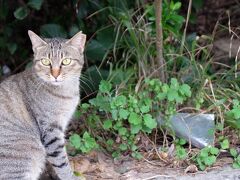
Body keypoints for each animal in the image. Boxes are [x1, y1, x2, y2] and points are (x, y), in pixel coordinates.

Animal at [0, 30, 86, 179]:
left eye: (66, 61)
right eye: (46, 62)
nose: (55, 75)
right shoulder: (51, 130)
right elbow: (61, 162)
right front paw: (70, 177)